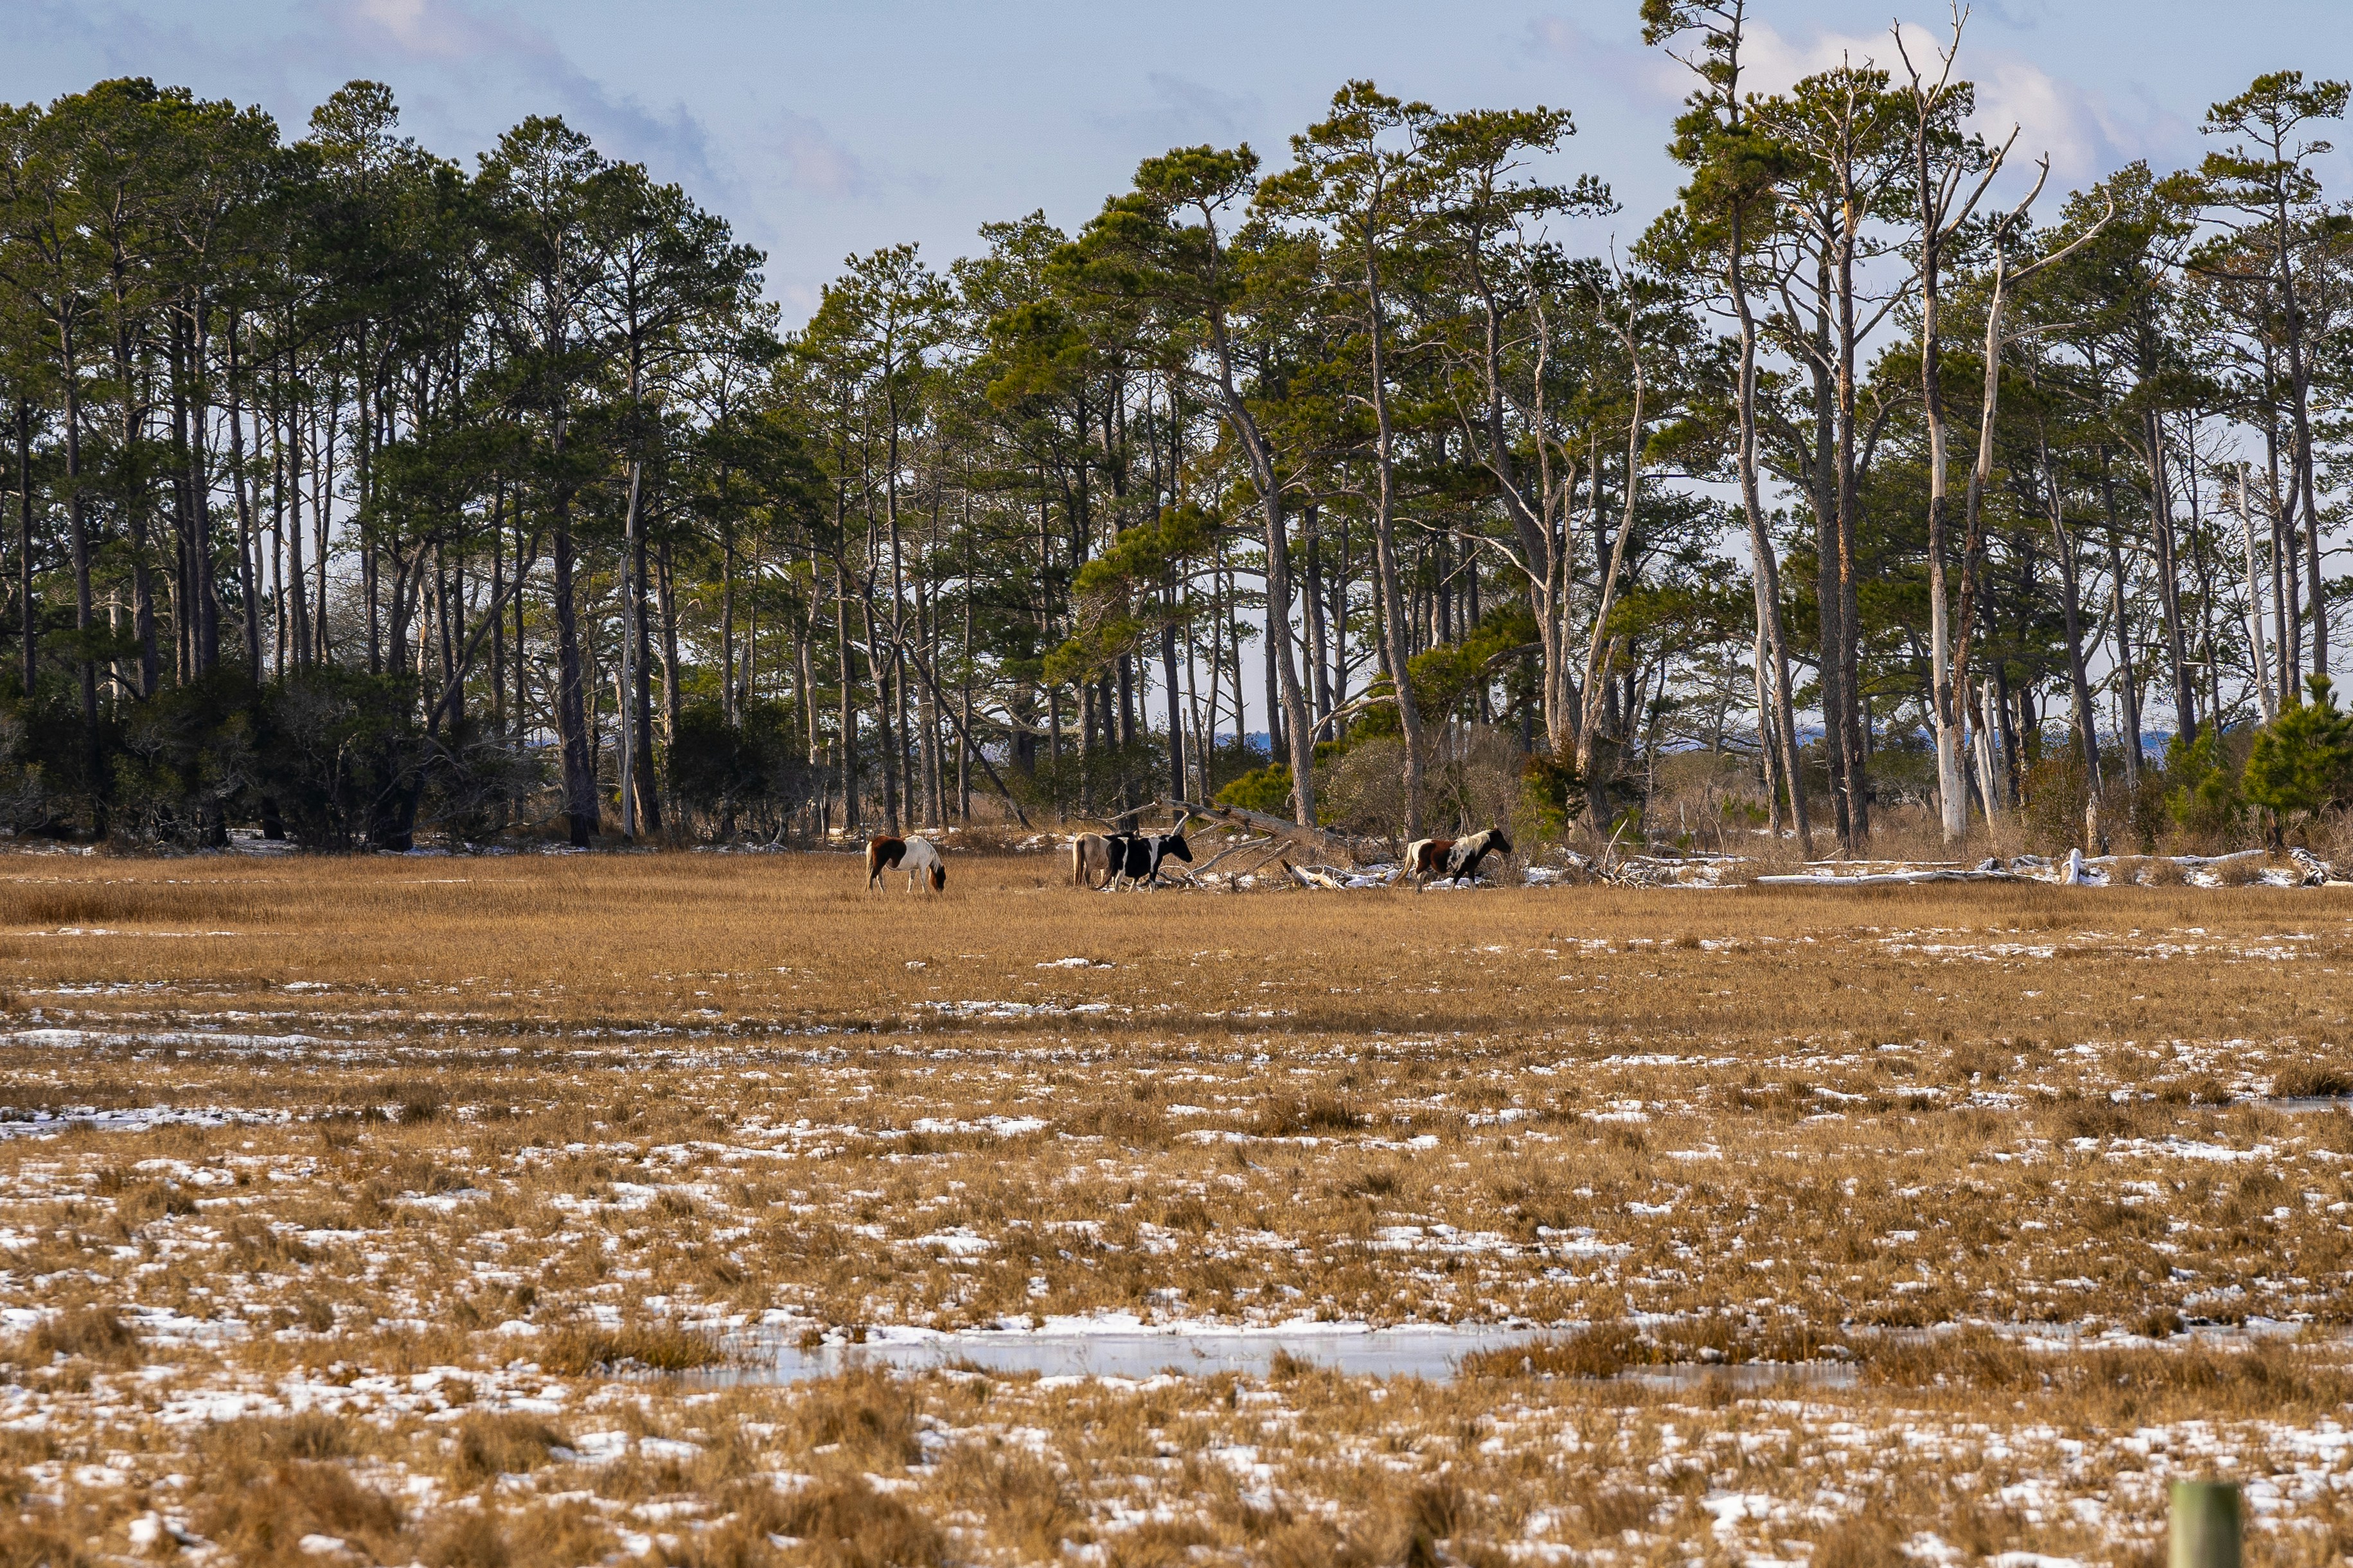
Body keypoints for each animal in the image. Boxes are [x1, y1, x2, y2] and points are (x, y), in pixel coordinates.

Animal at [1404, 827, 1512, 889]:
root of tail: (1415, 844)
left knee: (1419, 877)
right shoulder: (1460, 871)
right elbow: (1452, 886)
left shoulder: (1470, 870)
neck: (1472, 850)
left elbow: (1473, 887)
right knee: (1414, 874)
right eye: (1500, 839)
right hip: (1422, 865)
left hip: (1428, 868)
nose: (1509, 849)